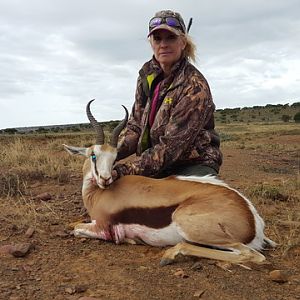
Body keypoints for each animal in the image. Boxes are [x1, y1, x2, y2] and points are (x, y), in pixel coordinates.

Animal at [64, 100, 276, 264]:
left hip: (191, 227)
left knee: (251, 255)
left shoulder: (101, 227)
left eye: (115, 158)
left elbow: (76, 229)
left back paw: (170, 254)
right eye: (93, 155)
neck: (98, 194)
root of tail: (253, 220)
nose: (105, 178)